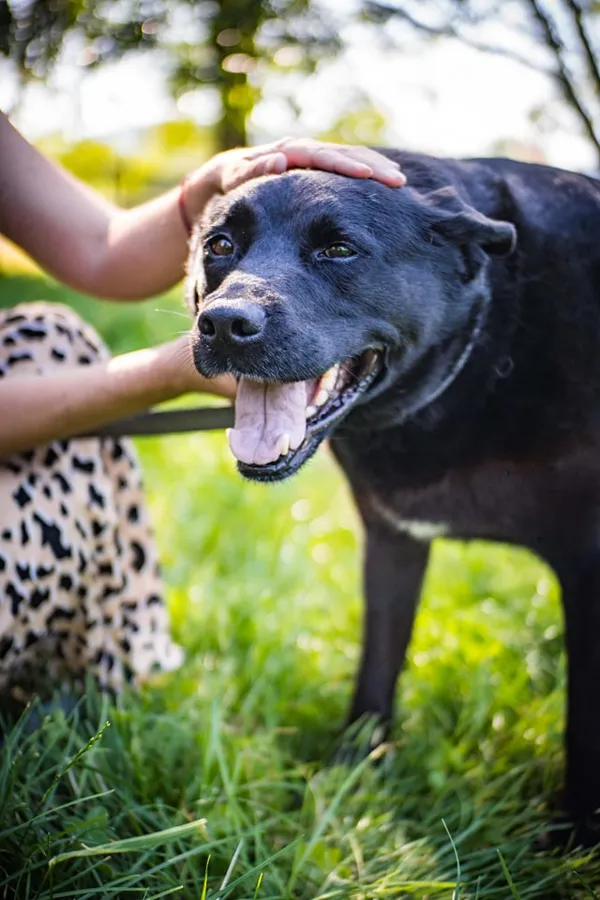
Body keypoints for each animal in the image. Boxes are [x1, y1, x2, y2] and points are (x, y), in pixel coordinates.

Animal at [185, 151, 600, 848]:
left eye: (339, 250)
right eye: (220, 245)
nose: (223, 323)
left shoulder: (588, 572)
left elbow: (584, 722)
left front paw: (576, 838)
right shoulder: (392, 543)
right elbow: (377, 669)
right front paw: (350, 775)